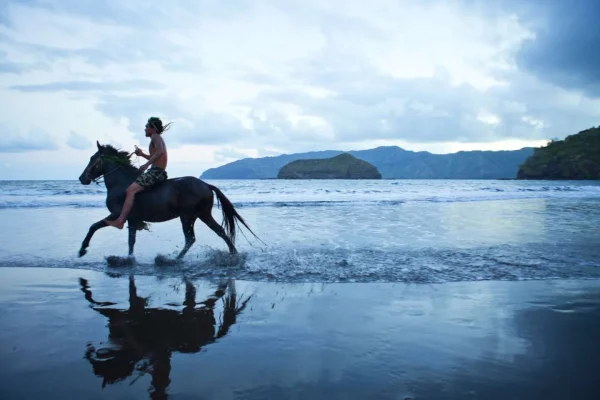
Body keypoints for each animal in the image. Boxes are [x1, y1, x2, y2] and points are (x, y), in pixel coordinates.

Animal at [78, 142, 260, 264]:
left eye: (92, 158)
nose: (81, 178)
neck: (121, 183)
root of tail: (206, 185)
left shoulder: (117, 214)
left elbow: (94, 226)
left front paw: (82, 249)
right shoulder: (132, 219)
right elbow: (131, 241)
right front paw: (129, 259)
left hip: (187, 216)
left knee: (190, 239)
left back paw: (171, 260)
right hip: (202, 215)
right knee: (220, 232)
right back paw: (233, 255)